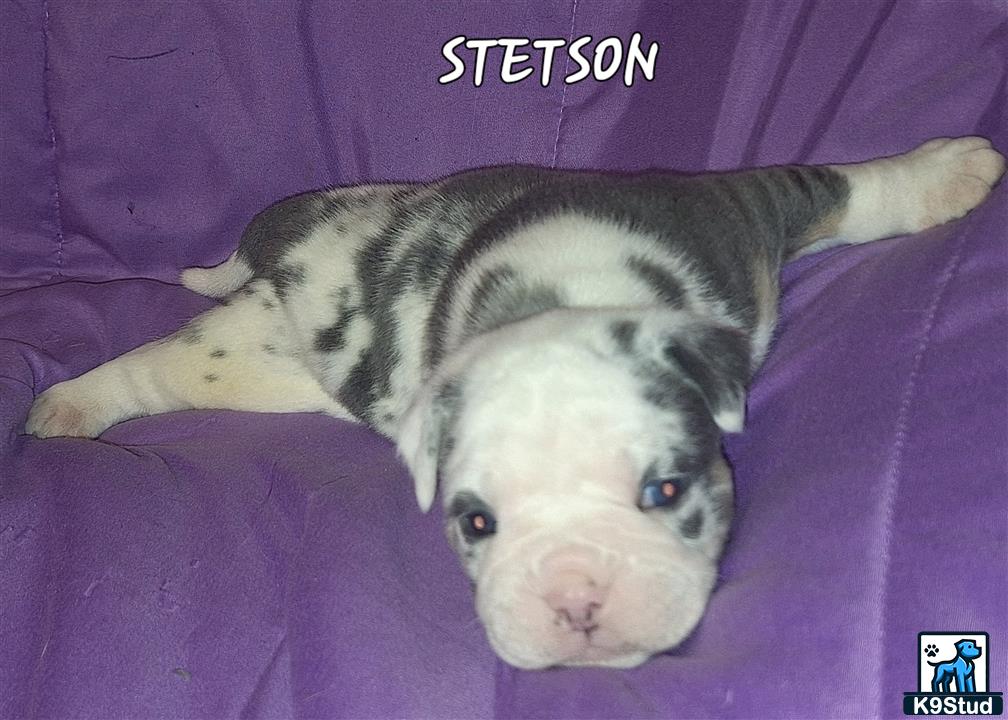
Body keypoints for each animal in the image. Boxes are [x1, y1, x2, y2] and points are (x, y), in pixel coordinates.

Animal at [23, 136, 999, 665]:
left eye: (666, 492)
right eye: (475, 522)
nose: (575, 600)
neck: (562, 301)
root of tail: (288, 231)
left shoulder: (734, 211)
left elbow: (839, 187)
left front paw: (944, 176)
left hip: (279, 372)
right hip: (239, 347)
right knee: (156, 366)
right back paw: (66, 407)